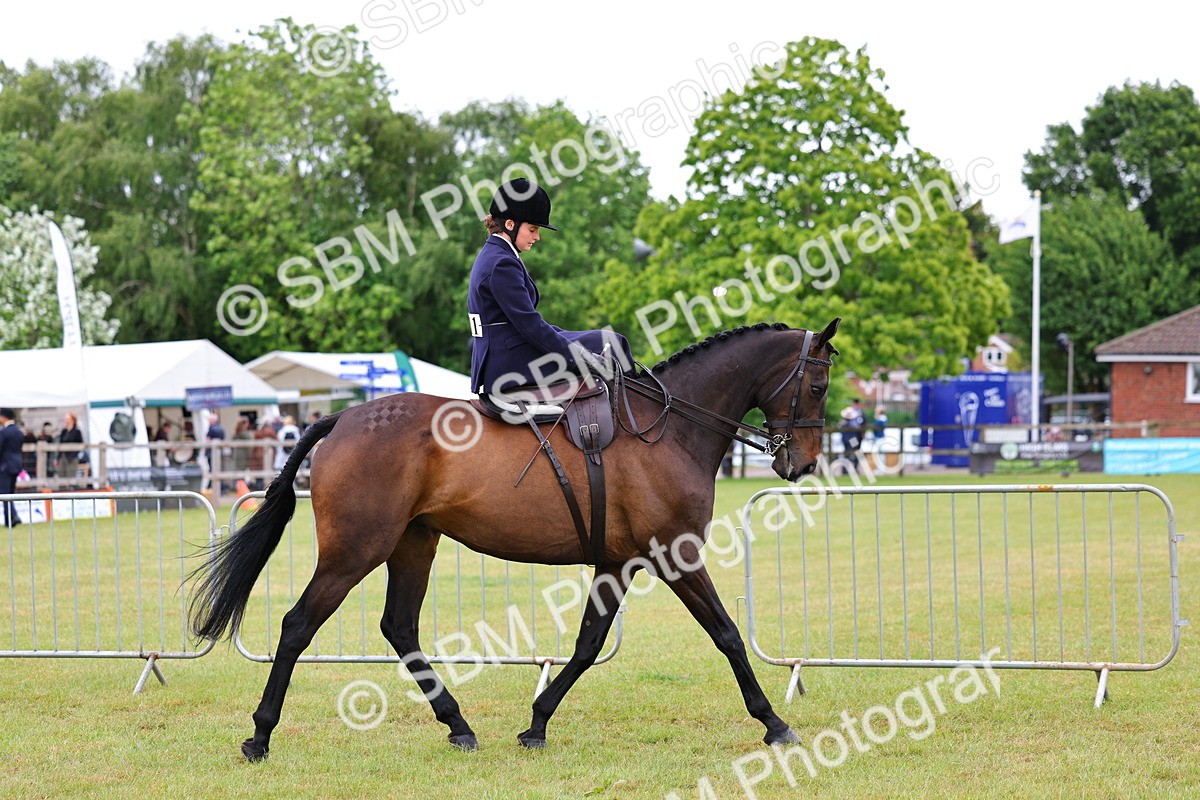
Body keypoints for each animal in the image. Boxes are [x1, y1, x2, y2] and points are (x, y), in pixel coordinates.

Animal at [189, 318, 841, 760]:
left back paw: (458, 724)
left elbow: (587, 643)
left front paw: (537, 723)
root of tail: (342, 418)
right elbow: (727, 635)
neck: (670, 429)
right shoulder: (675, 556)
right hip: (356, 551)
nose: (804, 464)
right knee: (298, 624)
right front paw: (774, 722)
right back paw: (260, 734)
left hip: (413, 545)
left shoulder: (618, 564)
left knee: (399, 627)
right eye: (817, 387)